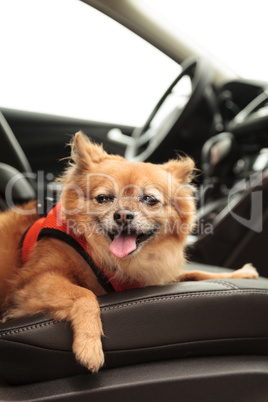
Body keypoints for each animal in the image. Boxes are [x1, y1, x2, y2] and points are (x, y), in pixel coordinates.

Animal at [0, 131, 258, 370]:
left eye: (150, 199)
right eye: (104, 198)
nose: (123, 215)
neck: (112, 258)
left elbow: (196, 273)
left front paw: (240, 274)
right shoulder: (33, 282)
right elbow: (85, 294)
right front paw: (89, 346)